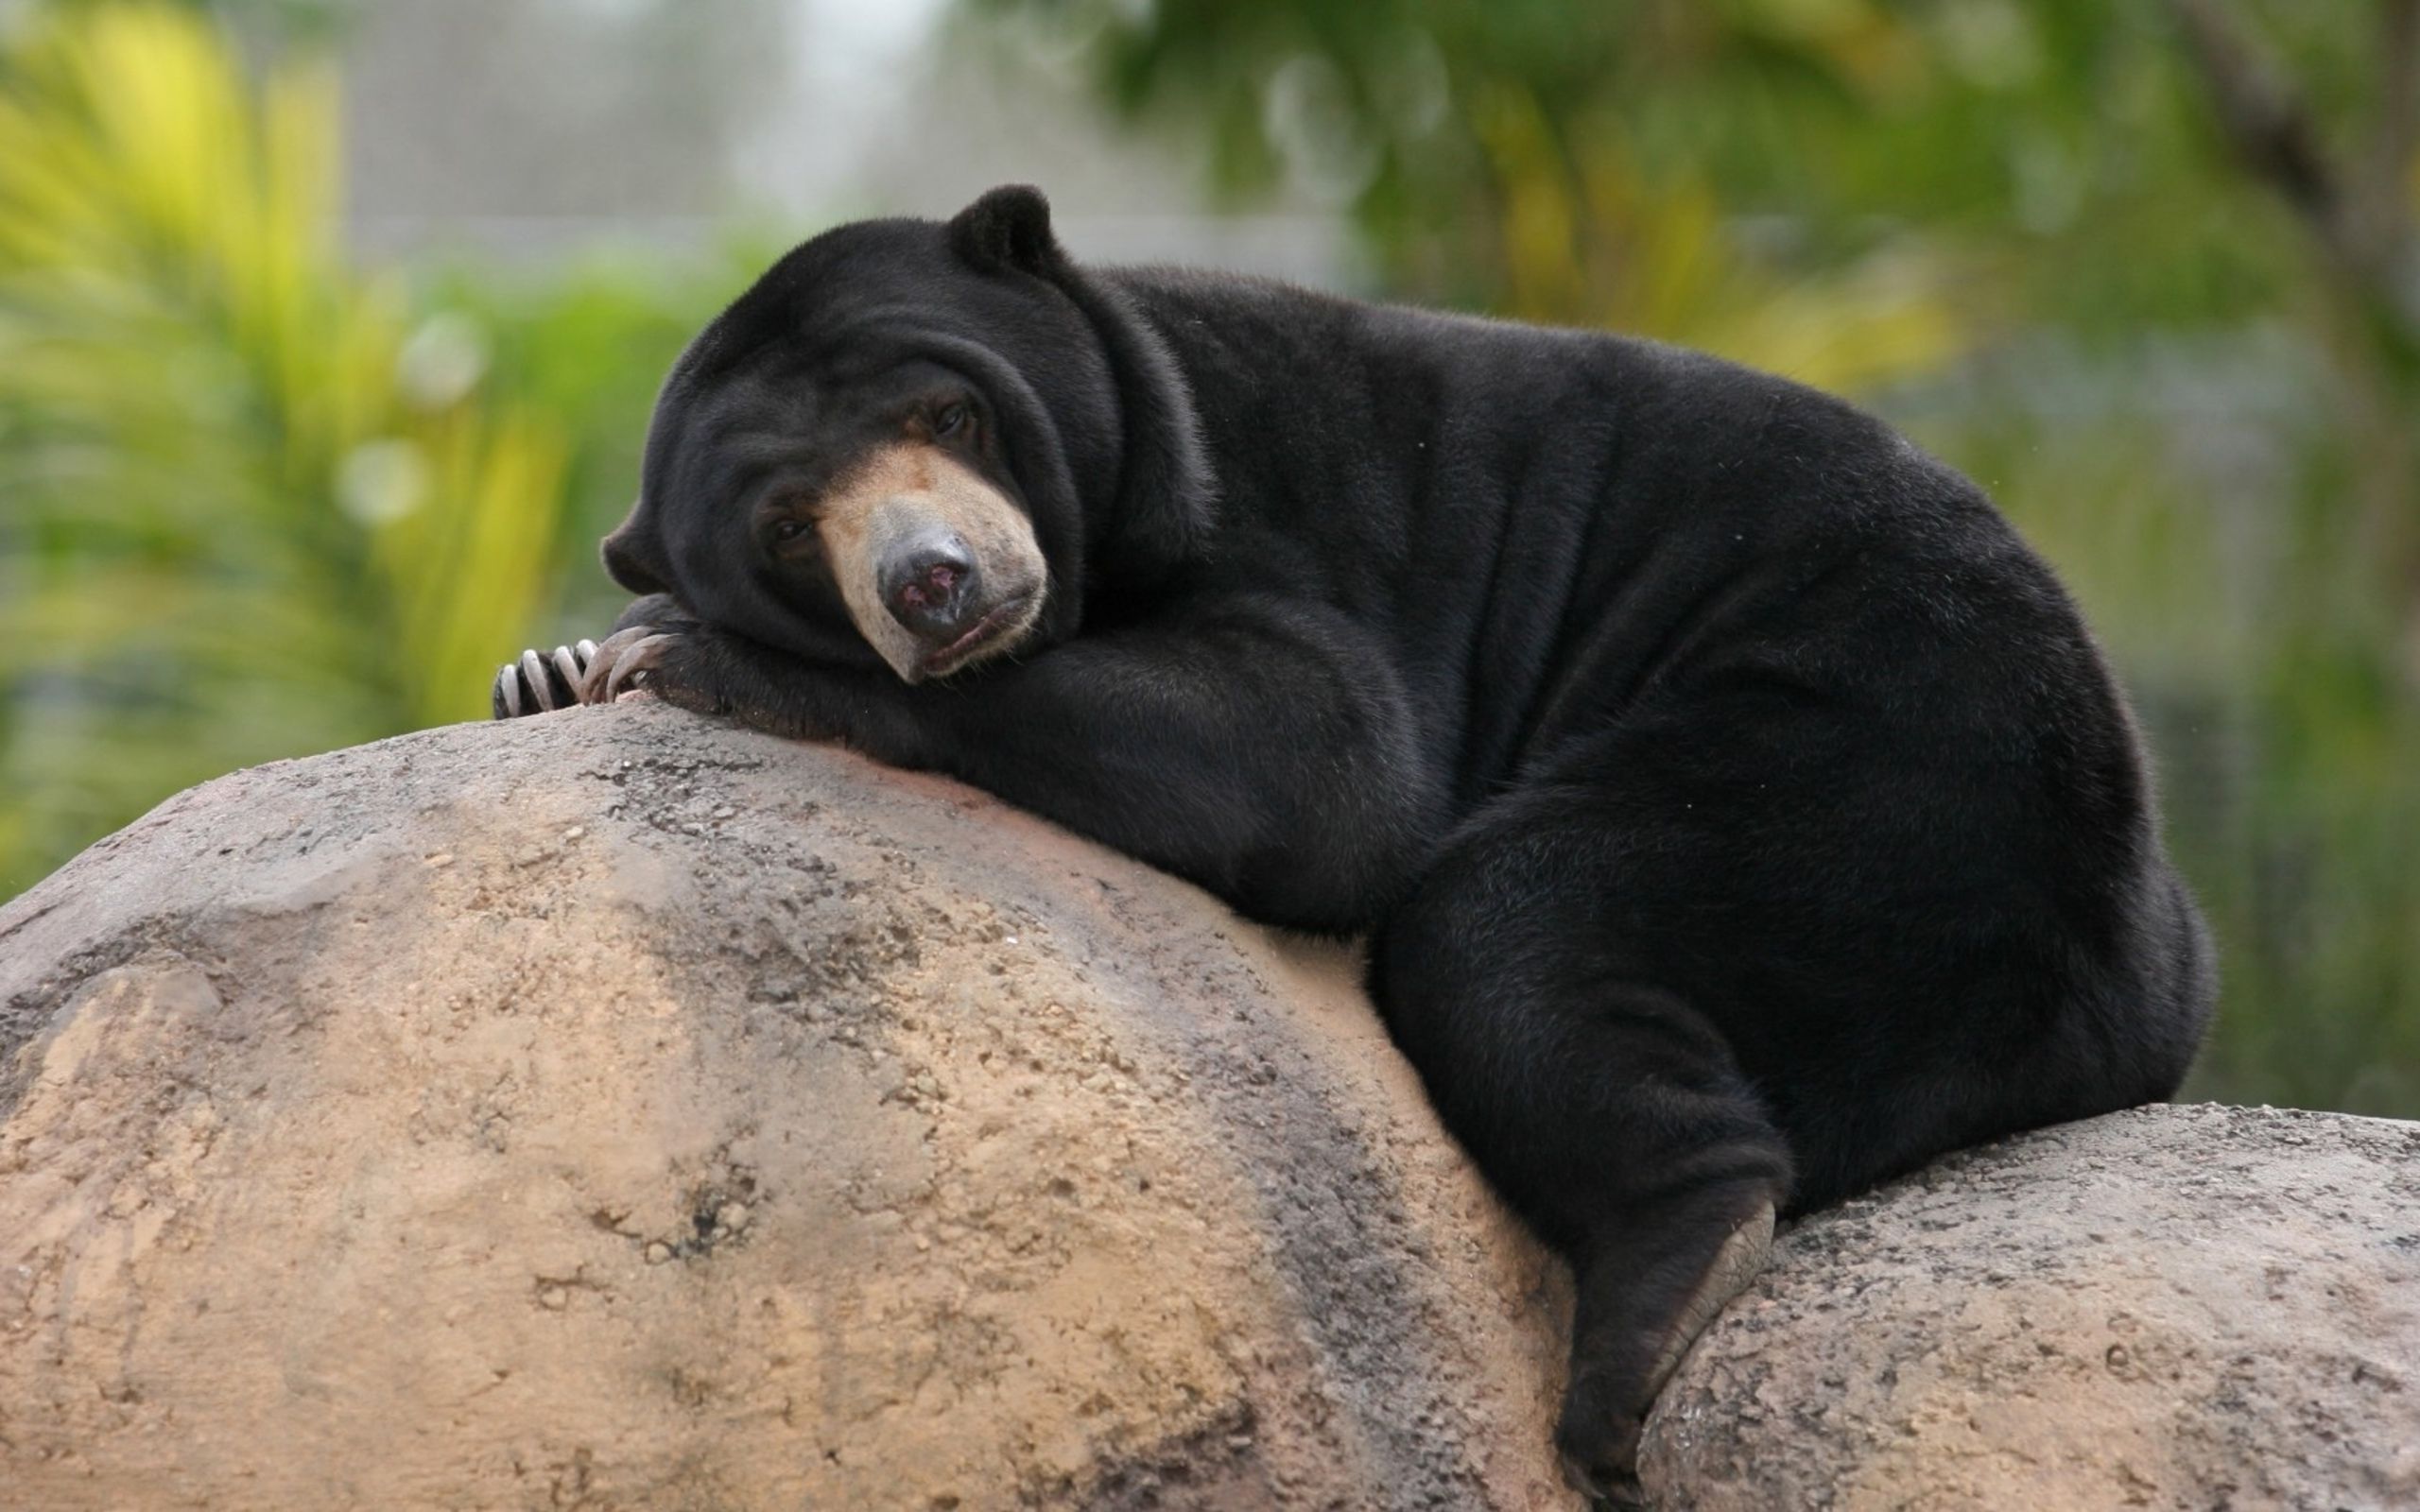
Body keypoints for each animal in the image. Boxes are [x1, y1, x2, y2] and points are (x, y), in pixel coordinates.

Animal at [493, 185, 2214, 1502]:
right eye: (791, 527)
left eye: (948, 413)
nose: (932, 585)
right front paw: (550, 670)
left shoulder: (1282, 515)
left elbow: (1326, 762)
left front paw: (679, 654)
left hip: (1875, 761)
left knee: (1509, 925)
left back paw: (1656, 1316)